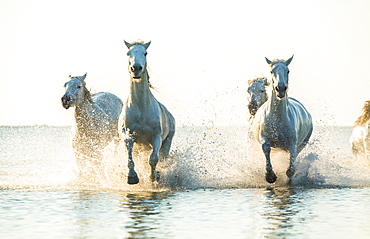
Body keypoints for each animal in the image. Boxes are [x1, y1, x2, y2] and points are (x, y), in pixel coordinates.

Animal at [120, 40, 174, 184]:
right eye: (128, 53)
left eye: (145, 53)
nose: (136, 68)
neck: (141, 109)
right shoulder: (128, 135)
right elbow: (129, 157)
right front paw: (132, 177)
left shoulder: (156, 137)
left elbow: (153, 159)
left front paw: (153, 177)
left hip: (167, 143)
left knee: (162, 158)